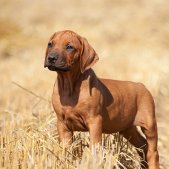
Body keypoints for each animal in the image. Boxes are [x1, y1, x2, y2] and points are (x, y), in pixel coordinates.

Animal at [44, 30, 160, 169]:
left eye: (69, 47)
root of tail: (141, 85)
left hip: (150, 125)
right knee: (143, 146)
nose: (51, 58)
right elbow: (65, 150)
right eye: (50, 44)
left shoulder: (95, 121)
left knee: (153, 151)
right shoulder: (62, 124)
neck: (69, 86)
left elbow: (95, 148)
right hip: (127, 127)